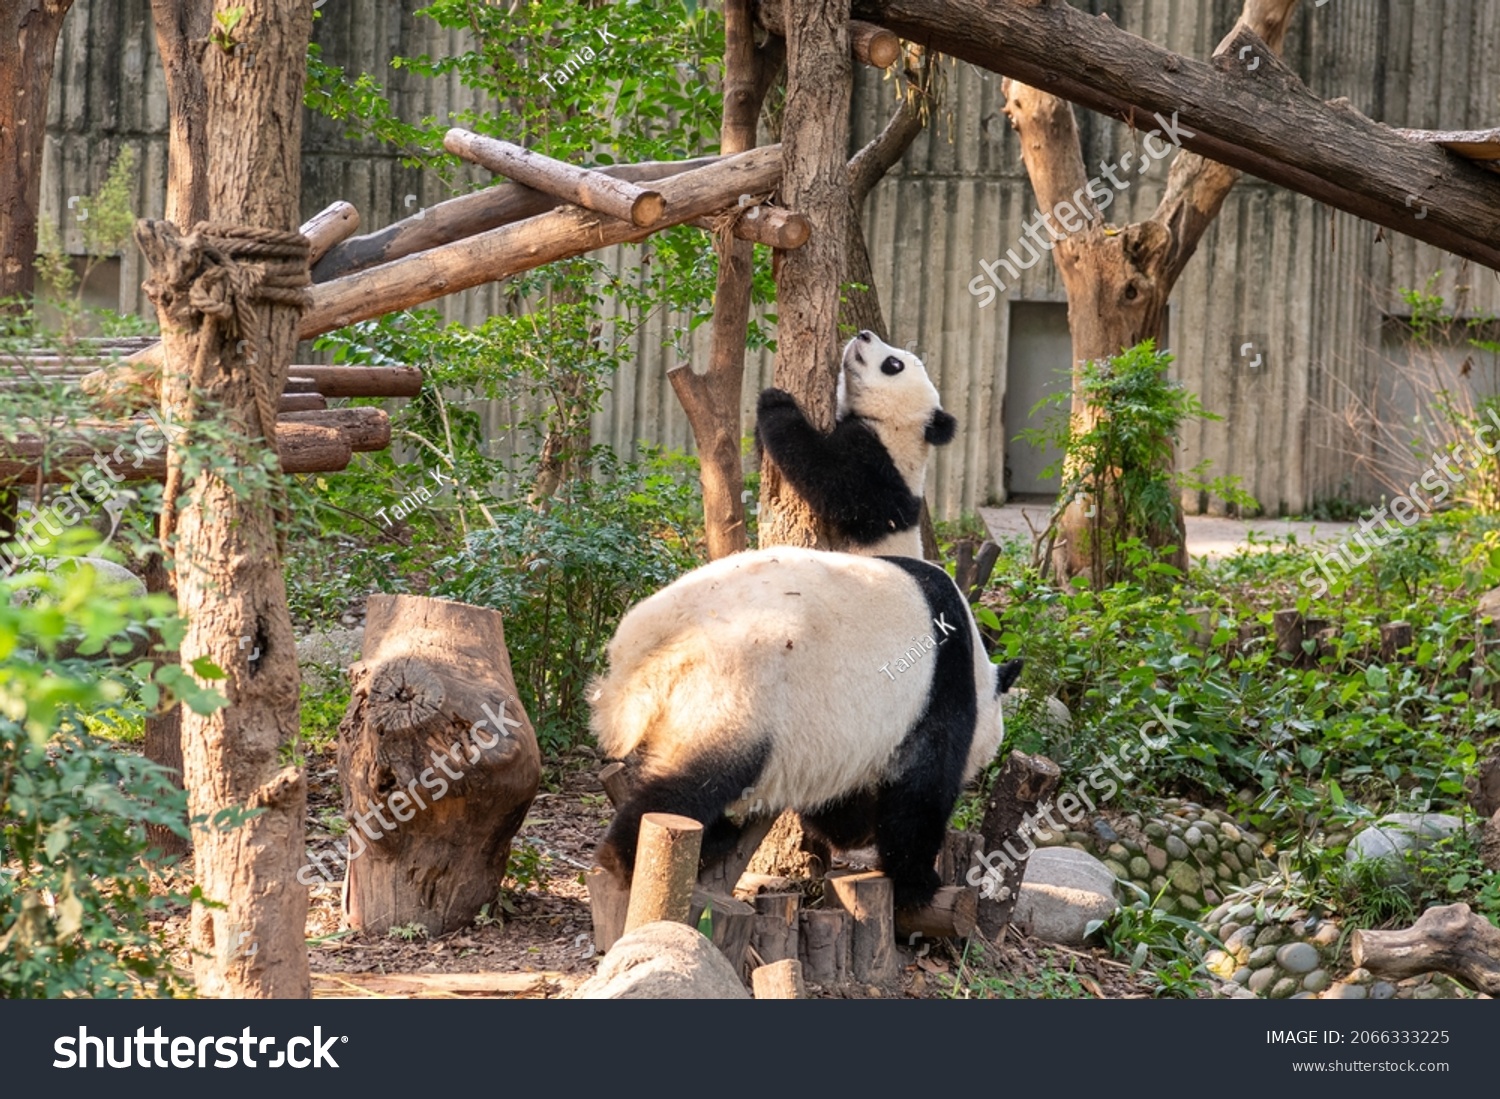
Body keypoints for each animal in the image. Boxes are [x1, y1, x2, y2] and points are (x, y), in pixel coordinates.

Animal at [585, 548, 1020, 911]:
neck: (976, 667)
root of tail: (649, 643)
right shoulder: (937, 695)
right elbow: (920, 790)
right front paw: (917, 884)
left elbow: (838, 799)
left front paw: (856, 834)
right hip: (735, 690)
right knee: (697, 783)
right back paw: (629, 859)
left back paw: (711, 838)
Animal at [756, 328, 954, 557]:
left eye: (894, 364)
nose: (864, 334)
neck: (897, 423)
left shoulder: (878, 472)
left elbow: (826, 476)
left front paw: (774, 402)